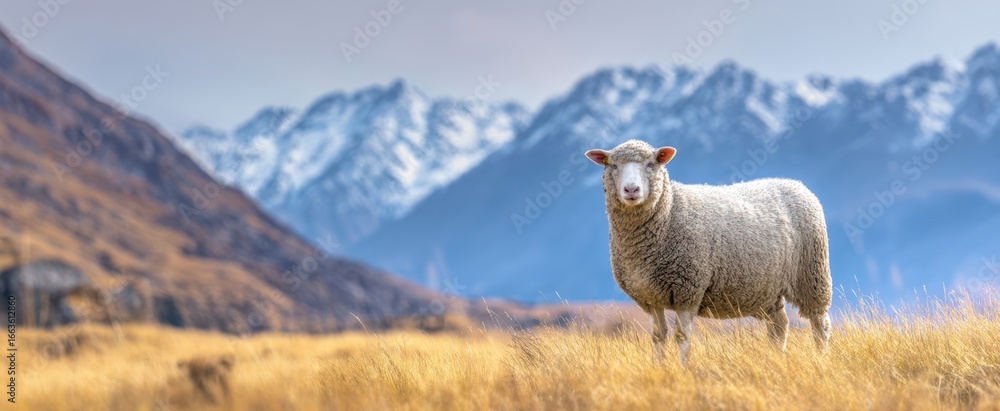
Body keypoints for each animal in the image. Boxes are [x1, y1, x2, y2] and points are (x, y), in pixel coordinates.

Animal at [584, 139, 832, 364]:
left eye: (651, 163)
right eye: (613, 165)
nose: (631, 190)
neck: (669, 211)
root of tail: (795, 184)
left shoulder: (688, 288)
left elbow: (682, 336)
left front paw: (683, 370)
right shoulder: (650, 296)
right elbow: (658, 337)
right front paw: (659, 368)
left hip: (812, 274)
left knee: (819, 323)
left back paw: (821, 358)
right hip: (766, 288)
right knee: (779, 325)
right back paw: (776, 358)